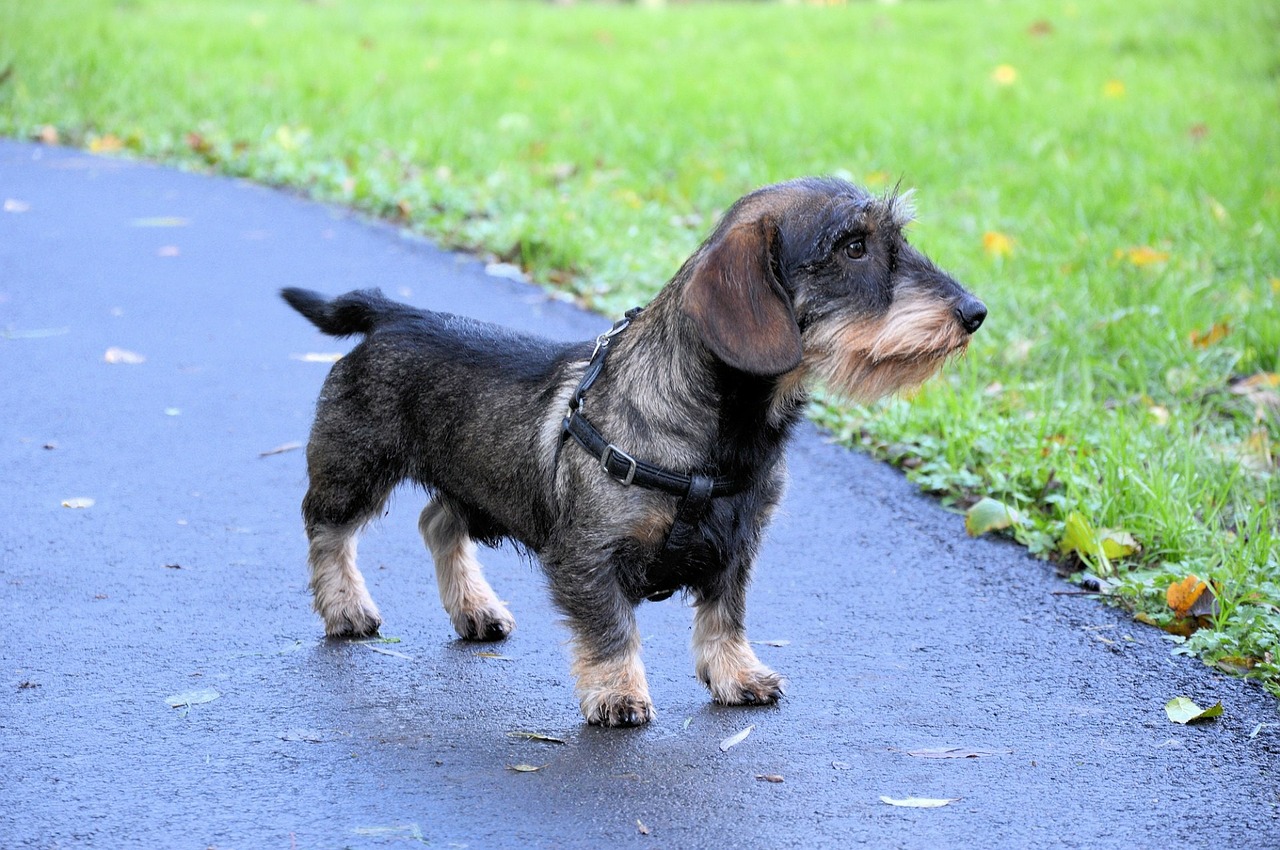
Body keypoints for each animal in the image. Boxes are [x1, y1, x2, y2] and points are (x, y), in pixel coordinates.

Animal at [280, 175, 983, 727]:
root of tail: (394, 314)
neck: (720, 436)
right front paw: (617, 694)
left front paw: (737, 675)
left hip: (471, 477)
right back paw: (346, 608)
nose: (975, 312)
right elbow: (611, 629)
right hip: (353, 469)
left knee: (437, 522)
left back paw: (476, 610)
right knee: (327, 532)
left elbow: (725, 617)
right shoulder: (588, 556)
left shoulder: (738, 546)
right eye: (853, 246)